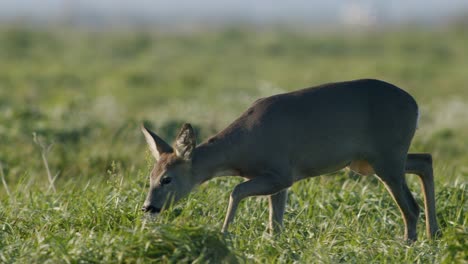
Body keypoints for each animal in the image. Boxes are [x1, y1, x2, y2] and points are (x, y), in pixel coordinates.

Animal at [141, 78, 440, 241]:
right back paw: (433, 234)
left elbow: (236, 191)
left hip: (386, 158)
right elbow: (276, 222)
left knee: (411, 207)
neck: (241, 147)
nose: (148, 207)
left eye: (167, 179)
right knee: (425, 160)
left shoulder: (281, 173)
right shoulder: (278, 182)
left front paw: (224, 233)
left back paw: (409, 243)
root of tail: (415, 105)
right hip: (374, 160)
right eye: (150, 177)